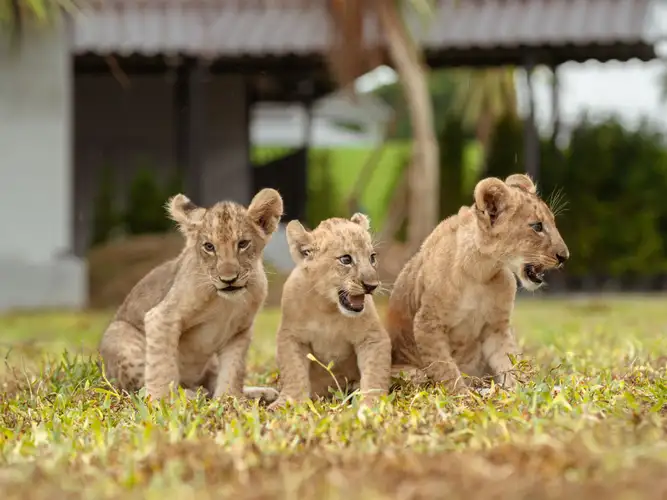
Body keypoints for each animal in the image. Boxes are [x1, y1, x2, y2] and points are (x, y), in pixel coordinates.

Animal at [98, 188, 284, 402]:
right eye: (209, 246)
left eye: (243, 244)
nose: (228, 279)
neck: (226, 302)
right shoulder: (162, 317)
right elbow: (161, 366)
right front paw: (161, 400)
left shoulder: (240, 331)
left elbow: (232, 370)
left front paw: (229, 400)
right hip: (120, 336)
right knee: (139, 387)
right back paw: (188, 394)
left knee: (211, 384)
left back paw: (259, 392)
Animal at [267, 213, 391, 410]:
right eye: (346, 259)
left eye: (372, 257)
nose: (372, 286)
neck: (327, 307)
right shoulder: (291, 336)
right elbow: (294, 372)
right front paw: (288, 402)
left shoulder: (373, 337)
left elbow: (375, 374)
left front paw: (372, 405)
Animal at [386, 174, 569, 393]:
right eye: (537, 227)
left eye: (553, 222)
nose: (565, 256)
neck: (481, 271)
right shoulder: (427, 325)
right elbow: (447, 370)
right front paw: (463, 396)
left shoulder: (496, 327)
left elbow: (510, 364)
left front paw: (520, 392)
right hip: (410, 372)